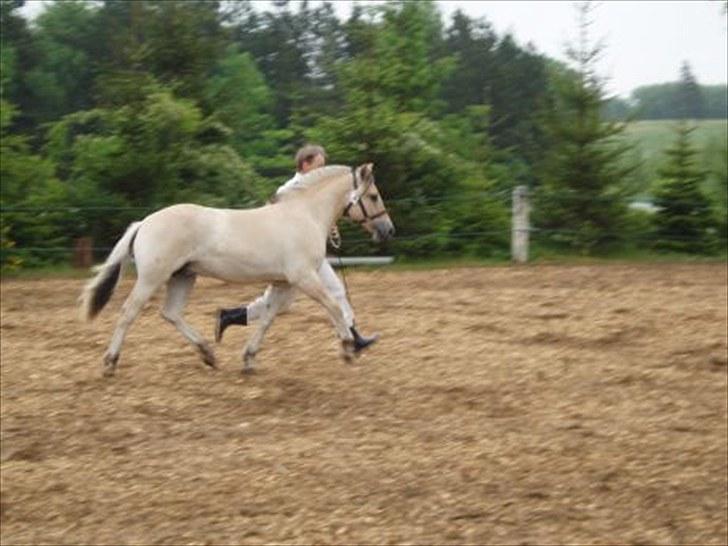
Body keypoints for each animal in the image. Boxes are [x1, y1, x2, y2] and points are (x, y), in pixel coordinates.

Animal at [80, 163, 396, 374]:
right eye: (373, 196)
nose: (388, 230)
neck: (304, 215)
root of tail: (144, 222)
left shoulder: (283, 283)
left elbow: (267, 318)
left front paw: (249, 358)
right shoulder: (303, 277)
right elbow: (332, 306)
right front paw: (348, 348)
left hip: (184, 276)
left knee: (171, 313)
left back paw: (208, 354)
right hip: (152, 278)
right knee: (128, 313)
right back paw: (110, 363)